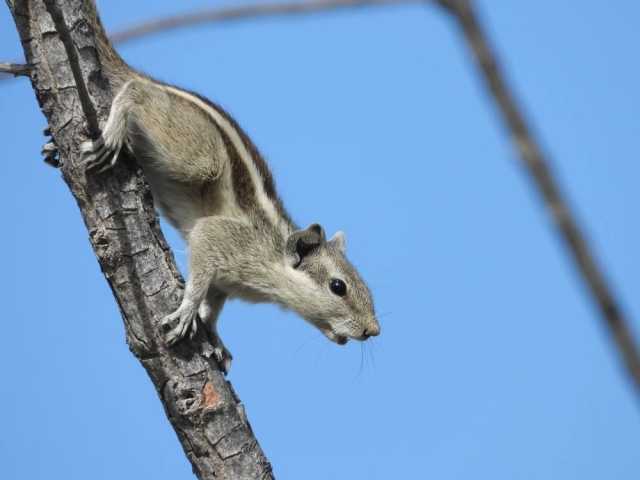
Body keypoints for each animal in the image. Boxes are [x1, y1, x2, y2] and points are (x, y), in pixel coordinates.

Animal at [79, 0, 380, 374]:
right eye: (338, 287)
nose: (373, 330)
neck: (272, 259)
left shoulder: (225, 284)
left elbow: (214, 306)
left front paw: (215, 337)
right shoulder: (219, 239)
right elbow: (200, 273)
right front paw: (187, 311)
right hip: (197, 155)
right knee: (137, 92)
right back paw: (118, 122)